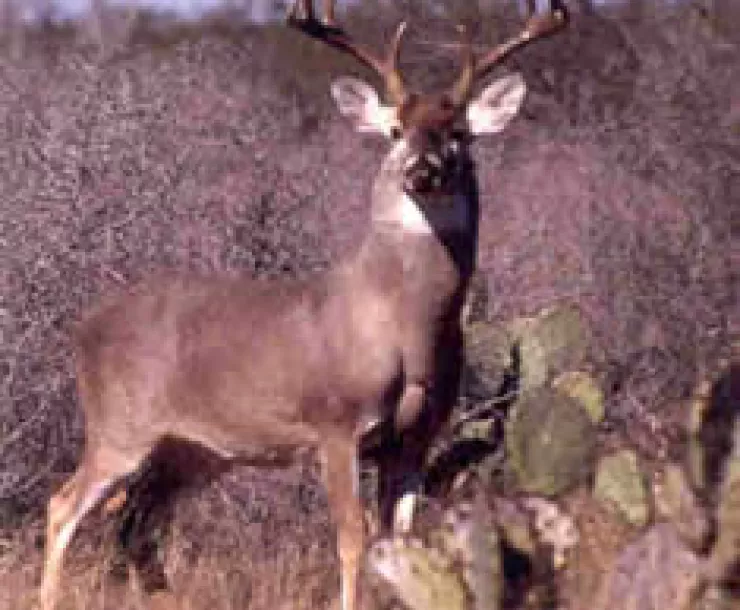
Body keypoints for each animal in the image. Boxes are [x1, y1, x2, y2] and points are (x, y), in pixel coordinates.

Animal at [39, 2, 567, 609]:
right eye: (395, 129)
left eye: (459, 133)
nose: (421, 170)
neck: (402, 327)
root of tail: (84, 328)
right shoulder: (335, 422)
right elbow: (353, 537)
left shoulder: (415, 438)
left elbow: (400, 540)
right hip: (121, 424)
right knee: (63, 507)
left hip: (191, 451)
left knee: (136, 527)